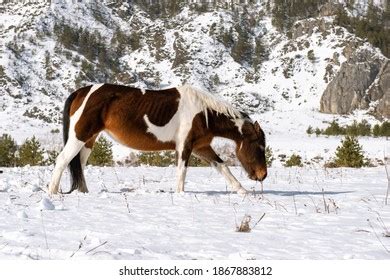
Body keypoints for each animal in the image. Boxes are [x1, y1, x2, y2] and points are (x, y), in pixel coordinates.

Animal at [48, 83, 268, 195]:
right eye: (259, 146)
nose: (262, 175)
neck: (203, 113)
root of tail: (82, 91)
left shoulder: (202, 147)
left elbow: (223, 167)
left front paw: (243, 192)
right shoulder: (185, 147)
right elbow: (182, 172)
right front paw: (180, 195)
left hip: (89, 140)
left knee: (79, 163)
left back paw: (83, 192)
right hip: (80, 136)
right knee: (62, 160)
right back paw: (53, 192)